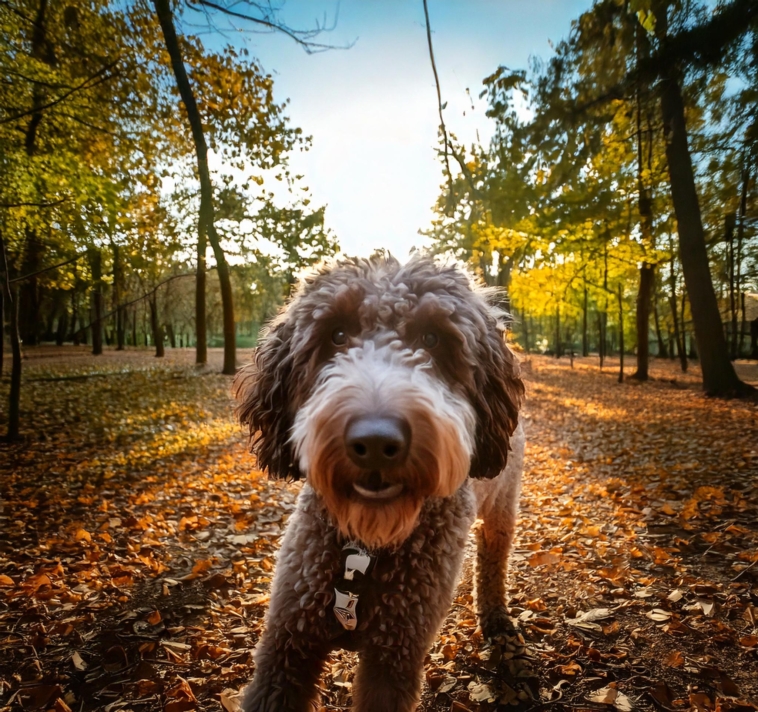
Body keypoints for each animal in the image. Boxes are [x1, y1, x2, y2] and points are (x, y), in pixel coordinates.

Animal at [235, 256, 524, 712]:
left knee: (494, 560)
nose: (374, 442)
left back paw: (496, 615)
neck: (364, 549)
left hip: (501, 505)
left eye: (433, 338)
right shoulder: (286, 645)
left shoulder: (394, 658)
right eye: (336, 334)